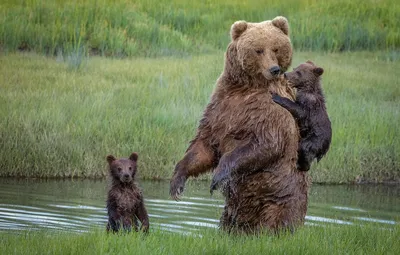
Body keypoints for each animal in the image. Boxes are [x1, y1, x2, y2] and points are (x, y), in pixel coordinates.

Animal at [169, 16, 310, 235]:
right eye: (258, 49)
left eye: (276, 48)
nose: (274, 69)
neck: (246, 88)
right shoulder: (220, 106)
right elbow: (204, 145)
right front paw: (177, 182)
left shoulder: (271, 110)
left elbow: (266, 144)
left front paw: (218, 176)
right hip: (232, 210)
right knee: (230, 221)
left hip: (281, 196)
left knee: (279, 219)